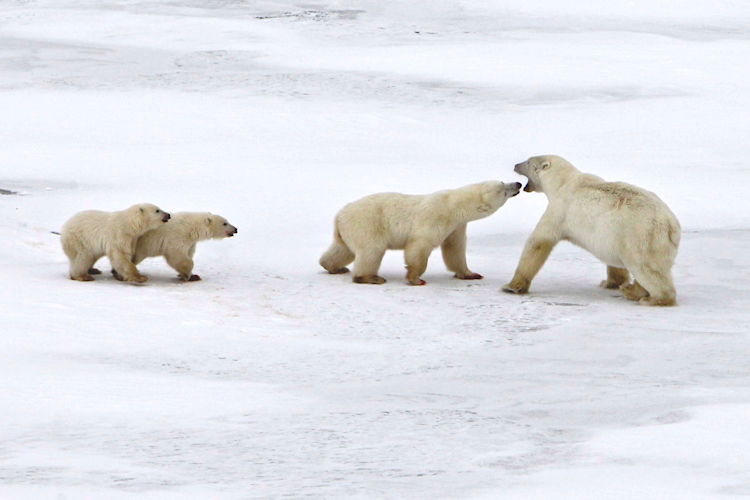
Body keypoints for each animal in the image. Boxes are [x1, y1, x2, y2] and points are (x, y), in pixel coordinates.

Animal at [320, 181, 522, 285]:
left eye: (503, 183)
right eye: (503, 190)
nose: (518, 183)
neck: (453, 205)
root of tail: (339, 216)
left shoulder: (456, 226)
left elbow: (455, 250)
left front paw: (470, 273)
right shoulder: (436, 217)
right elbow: (420, 245)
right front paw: (416, 278)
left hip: (349, 231)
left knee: (343, 250)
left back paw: (334, 267)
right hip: (367, 224)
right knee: (372, 250)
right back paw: (370, 277)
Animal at [502, 155, 681, 306]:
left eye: (528, 162)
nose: (515, 165)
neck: (563, 182)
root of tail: (671, 225)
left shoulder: (560, 209)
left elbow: (539, 242)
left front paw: (511, 286)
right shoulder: (611, 235)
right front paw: (610, 282)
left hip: (641, 236)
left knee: (646, 268)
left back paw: (653, 298)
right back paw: (631, 290)